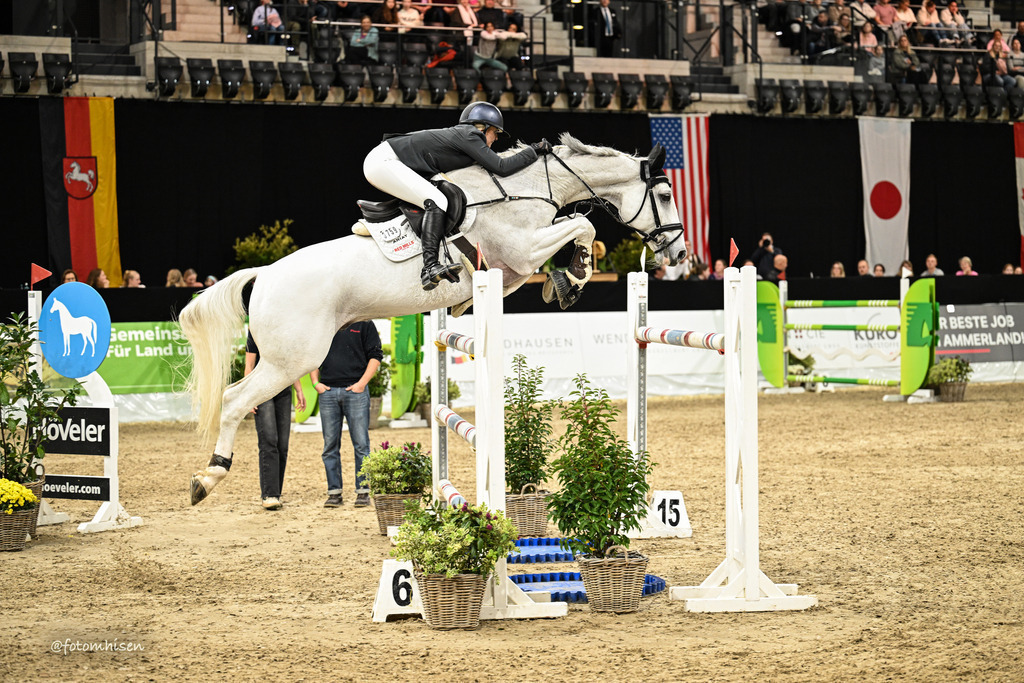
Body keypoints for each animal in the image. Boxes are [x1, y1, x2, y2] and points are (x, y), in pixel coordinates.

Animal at [182, 133, 686, 505]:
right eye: (664, 193)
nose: (680, 253)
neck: (522, 189)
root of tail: (264, 274)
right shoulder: (521, 251)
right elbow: (584, 225)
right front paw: (576, 273)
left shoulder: (511, 270)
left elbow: (573, 233)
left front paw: (565, 280)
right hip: (291, 359)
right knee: (233, 399)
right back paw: (207, 478)